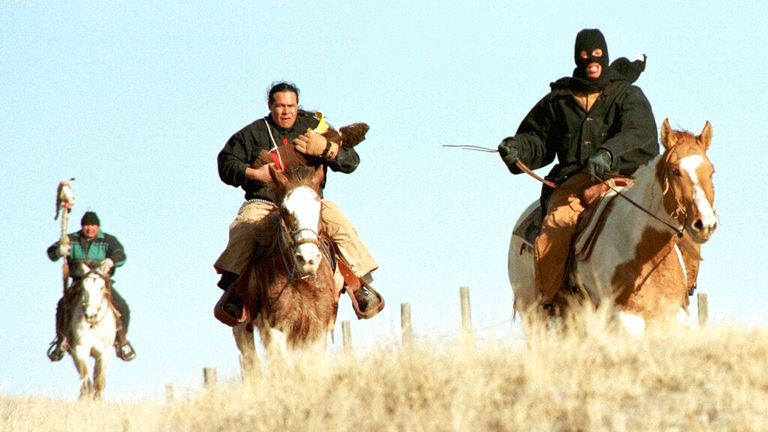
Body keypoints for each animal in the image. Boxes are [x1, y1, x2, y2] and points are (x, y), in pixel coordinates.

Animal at [65, 264, 117, 402]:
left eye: (101, 287)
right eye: (84, 287)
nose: (90, 315)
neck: (94, 325)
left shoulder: (104, 353)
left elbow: (100, 381)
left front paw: (99, 401)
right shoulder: (80, 350)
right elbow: (86, 379)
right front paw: (85, 400)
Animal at [234, 165, 342, 372]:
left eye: (319, 208)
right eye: (285, 210)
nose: (307, 259)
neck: (302, 280)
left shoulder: (318, 329)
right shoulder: (276, 328)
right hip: (243, 330)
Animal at [508, 120, 716, 332]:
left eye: (711, 171)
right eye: (675, 171)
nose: (705, 224)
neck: (643, 252)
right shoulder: (624, 318)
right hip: (533, 314)